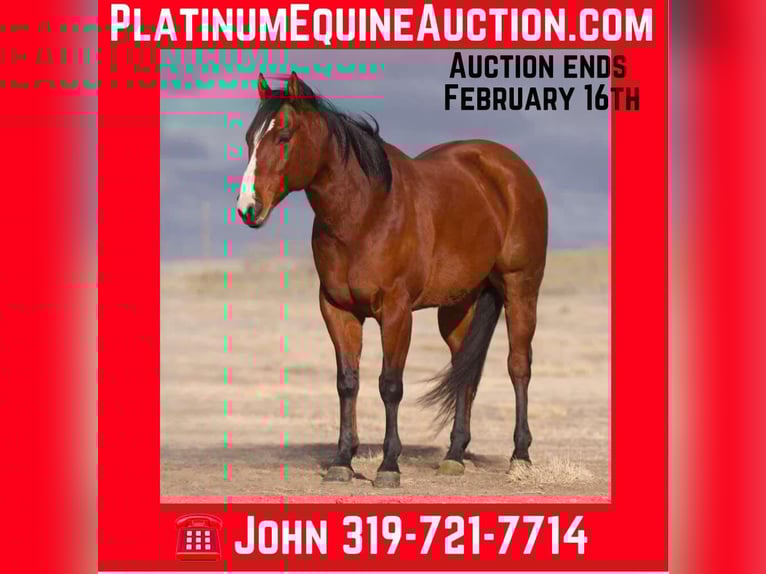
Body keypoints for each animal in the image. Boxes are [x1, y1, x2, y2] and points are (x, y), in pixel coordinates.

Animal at [236, 72, 548, 488]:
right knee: (464, 368)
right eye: (249, 138)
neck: (365, 213)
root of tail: (511, 169)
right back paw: (454, 455)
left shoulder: (397, 312)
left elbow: (390, 385)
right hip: (458, 306)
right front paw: (342, 461)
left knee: (518, 365)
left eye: (283, 137)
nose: (247, 208)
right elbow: (347, 382)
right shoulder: (337, 309)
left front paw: (389, 465)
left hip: (521, 288)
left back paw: (521, 456)